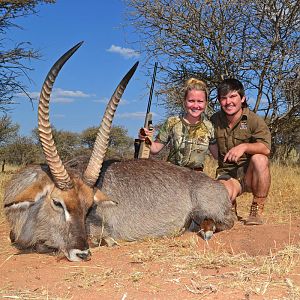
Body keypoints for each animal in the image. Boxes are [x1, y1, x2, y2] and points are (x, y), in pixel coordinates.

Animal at [4, 42, 234, 262]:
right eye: (57, 203)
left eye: (88, 207)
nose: (82, 253)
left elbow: (47, 245)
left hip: (207, 212)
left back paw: (204, 230)